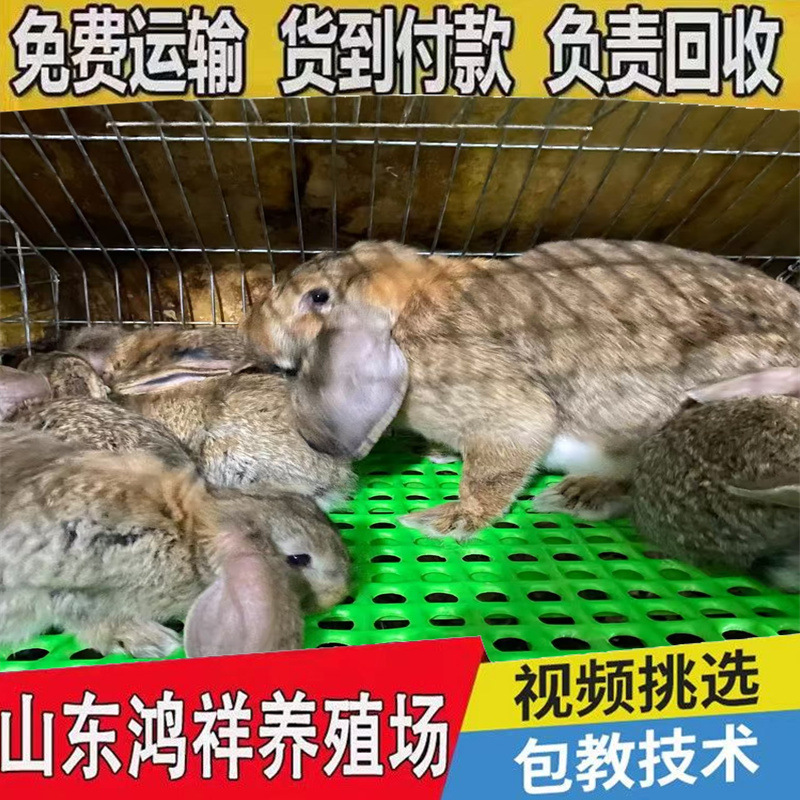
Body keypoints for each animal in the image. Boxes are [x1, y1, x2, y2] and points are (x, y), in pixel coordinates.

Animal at [240, 239, 800, 539]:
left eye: (318, 298)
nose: (254, 333)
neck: (412, 307)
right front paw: (440, 457)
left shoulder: (503, 412)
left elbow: (496, 467)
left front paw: (447, 520)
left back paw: (577, 495)